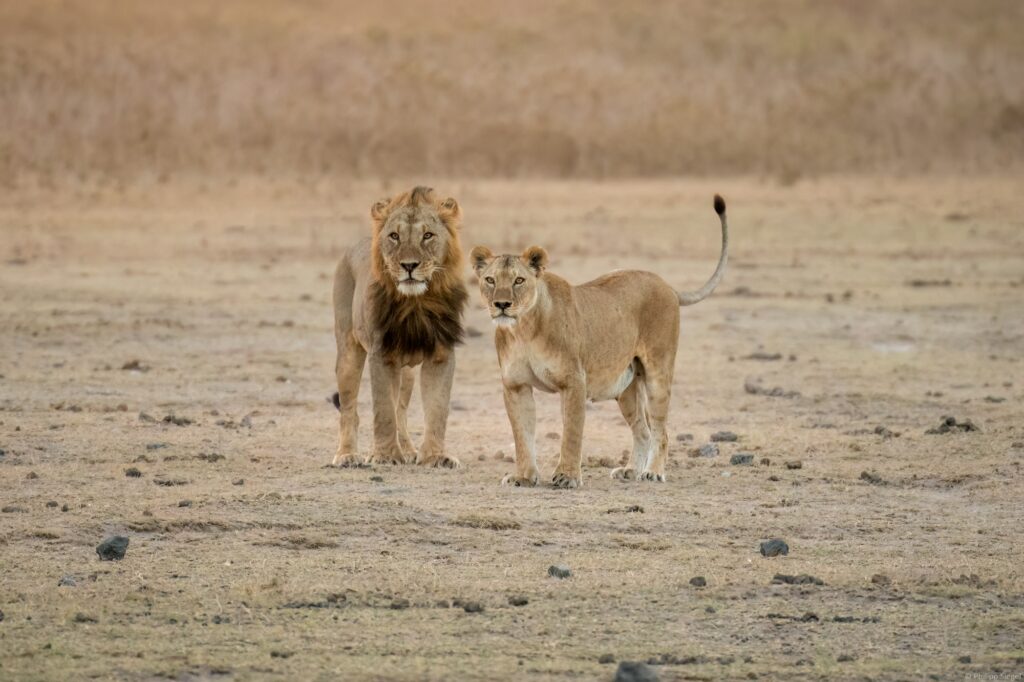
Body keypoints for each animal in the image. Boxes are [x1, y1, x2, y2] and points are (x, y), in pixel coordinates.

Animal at [331, 186, 467, 469]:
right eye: (394, 236)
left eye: (428, 235)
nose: (409, 266)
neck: (416, 303)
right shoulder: (381, 354)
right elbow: (383, 410)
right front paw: (385, 456)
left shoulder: (441, 354)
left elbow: (437, 409)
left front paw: (435, 456)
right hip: (349, 350)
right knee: (350, 409)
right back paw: (348, 455)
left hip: (407, 373)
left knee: (401, 411)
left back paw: (408, 450)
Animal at [470, 195, 729, 488]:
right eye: (490, 280)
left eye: (519, 280)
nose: (501, 305)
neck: (523, 330)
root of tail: (667, 285)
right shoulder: (515, 385)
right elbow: (522, 434)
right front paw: (524, 477)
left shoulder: (574, 381)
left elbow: (571, 433)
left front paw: (567, 476)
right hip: (626, 388)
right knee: (642, 430)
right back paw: (630, 470)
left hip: (658, 372)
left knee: (661, 431)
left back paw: (653, 472)